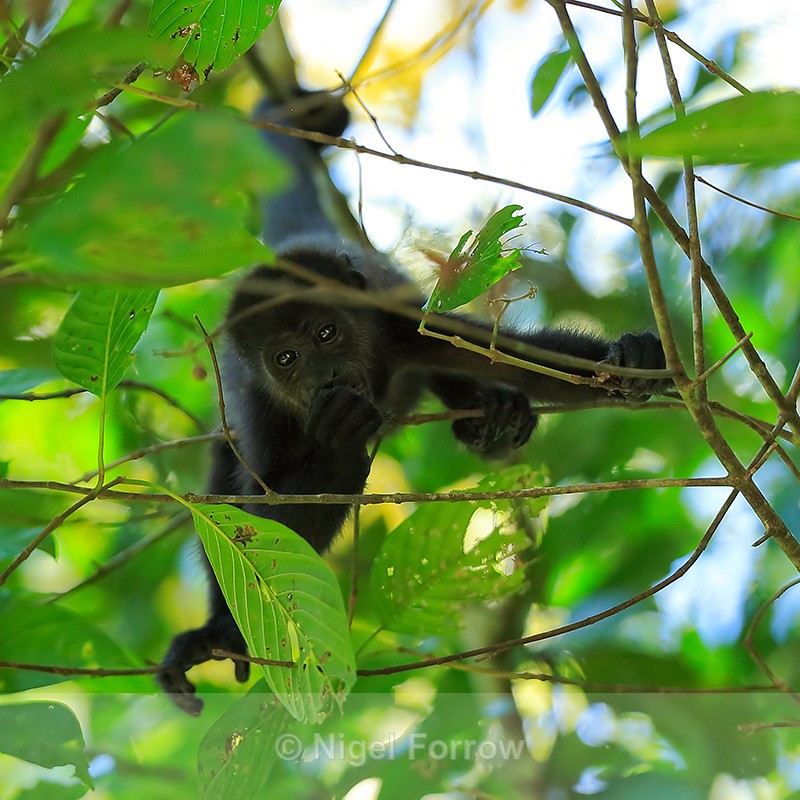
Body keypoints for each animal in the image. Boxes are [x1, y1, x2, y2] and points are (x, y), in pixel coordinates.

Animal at [156, 91, 669, 714]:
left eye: (327, 333)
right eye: (287, 359)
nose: (325, 375)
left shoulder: (401, 328)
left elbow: (517, 357)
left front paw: (630, 358)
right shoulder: (261, 406)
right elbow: (255, 526)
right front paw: (340, 437)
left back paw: (492, 415)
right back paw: (217, 633)